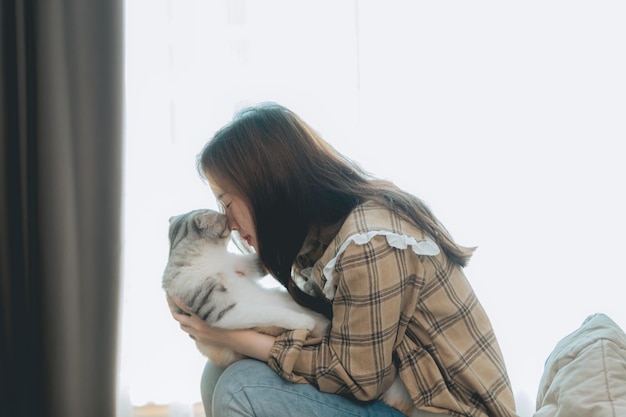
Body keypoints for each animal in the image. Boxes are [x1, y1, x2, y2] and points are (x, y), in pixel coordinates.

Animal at [161, 210, 416, 414]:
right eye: (223, 219)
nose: (231, 221)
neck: (213, 258)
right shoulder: (223, 310)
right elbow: (266, 312)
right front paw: (301, 321)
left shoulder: (243, 266)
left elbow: (260, 260)